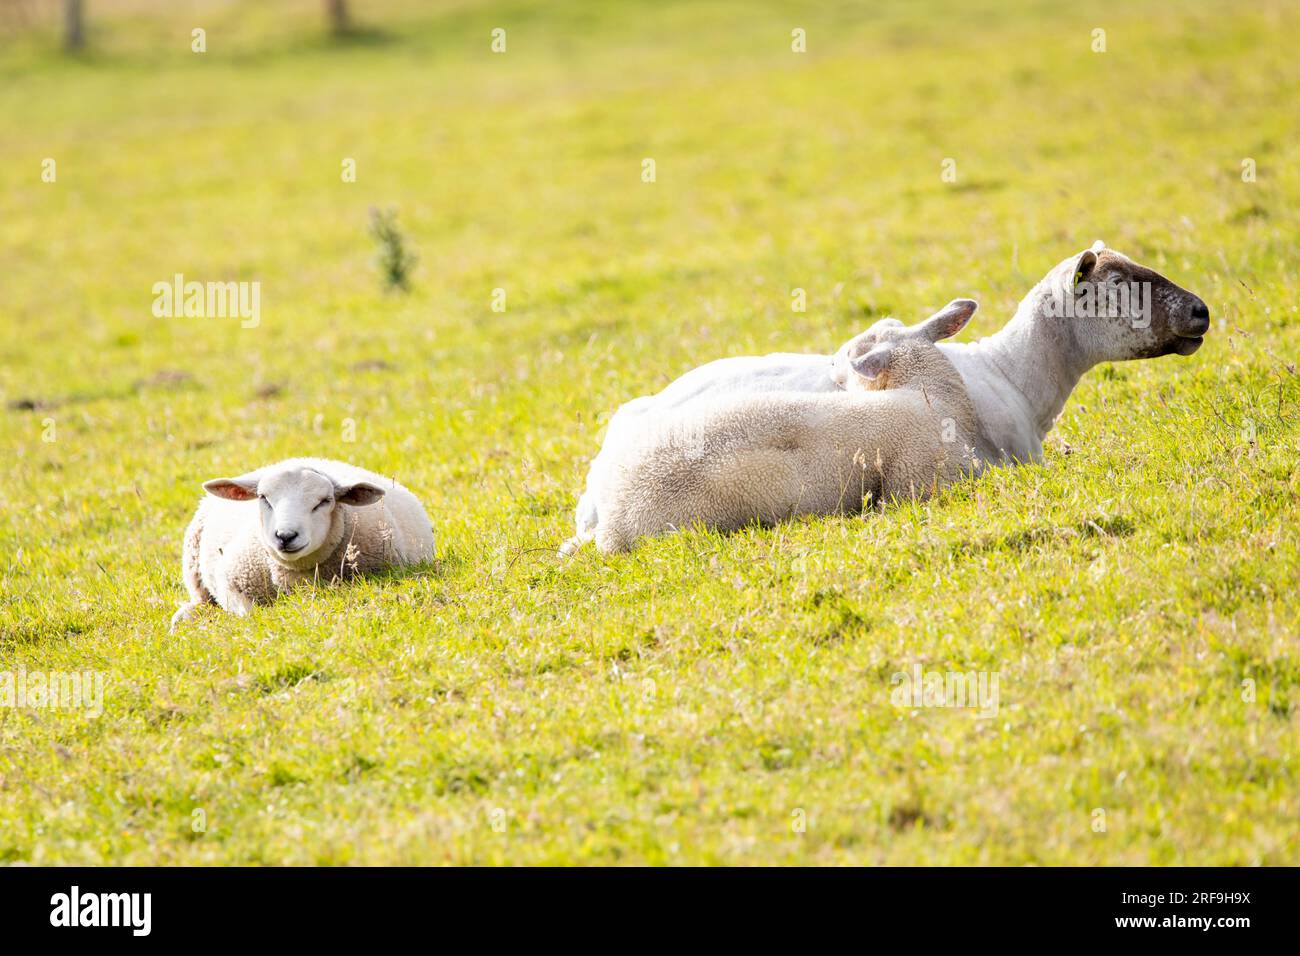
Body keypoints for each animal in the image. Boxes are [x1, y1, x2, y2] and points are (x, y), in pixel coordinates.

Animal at [169, 457, 435, 630]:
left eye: (324, 501)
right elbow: (248, 613)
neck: (293, 574)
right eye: (263, 498)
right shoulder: (230, 585)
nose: (285, 536)